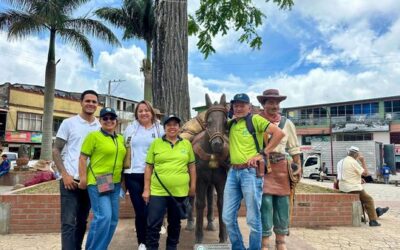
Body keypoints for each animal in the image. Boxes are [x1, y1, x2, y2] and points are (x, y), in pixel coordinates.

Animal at [192, 93, 230, 242]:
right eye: (209, 122)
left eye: (225, 122)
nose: (217, 144)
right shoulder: (200, 180)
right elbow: (200, 203)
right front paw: (198, 235)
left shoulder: (221, 181)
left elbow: (221, 203)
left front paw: (223, 236)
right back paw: (190, 224)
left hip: (210, 183)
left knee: (210, 197)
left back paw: (210, 222)